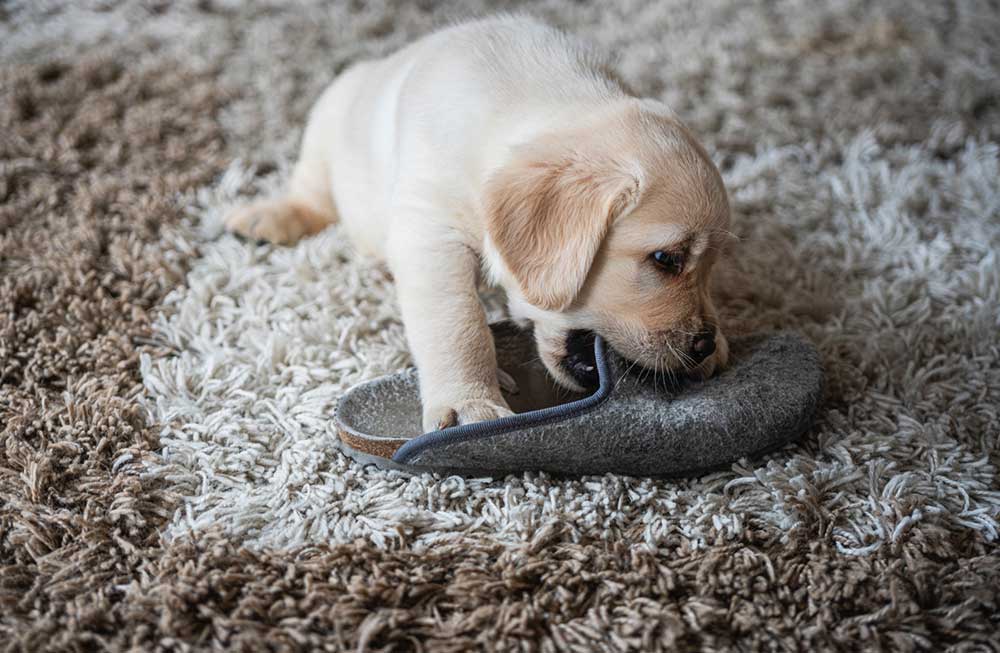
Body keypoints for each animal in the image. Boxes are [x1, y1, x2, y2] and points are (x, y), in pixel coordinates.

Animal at [227, 14, 732, 432]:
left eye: (712, 268)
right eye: (665, 259)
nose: (705, 345)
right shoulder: (431, 232)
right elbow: (457, 324)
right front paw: (468, 403)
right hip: (328, 118)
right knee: (312, 191)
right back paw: (270, 217)